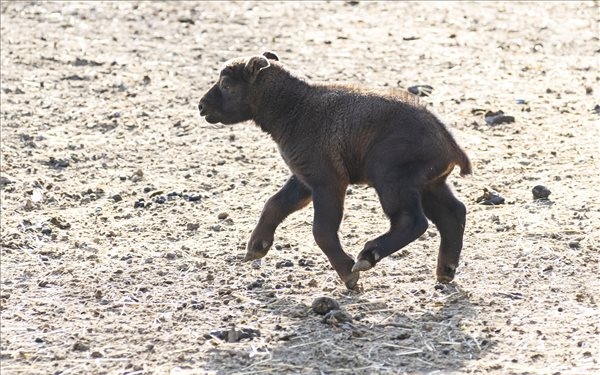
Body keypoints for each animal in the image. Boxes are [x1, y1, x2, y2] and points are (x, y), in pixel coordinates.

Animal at [199, 51, 472, 290]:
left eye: (226, 84)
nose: (202, 107)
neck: (293, 108)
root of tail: (449, 143)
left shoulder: (327, 181)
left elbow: (321, 230)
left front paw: (348, 275)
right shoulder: (304, 178)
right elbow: (275, 204)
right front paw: (256, 247)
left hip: (392, 179)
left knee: (413, 221)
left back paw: (367, 256)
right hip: (428, 184)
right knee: (453, 213)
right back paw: (446, 270)